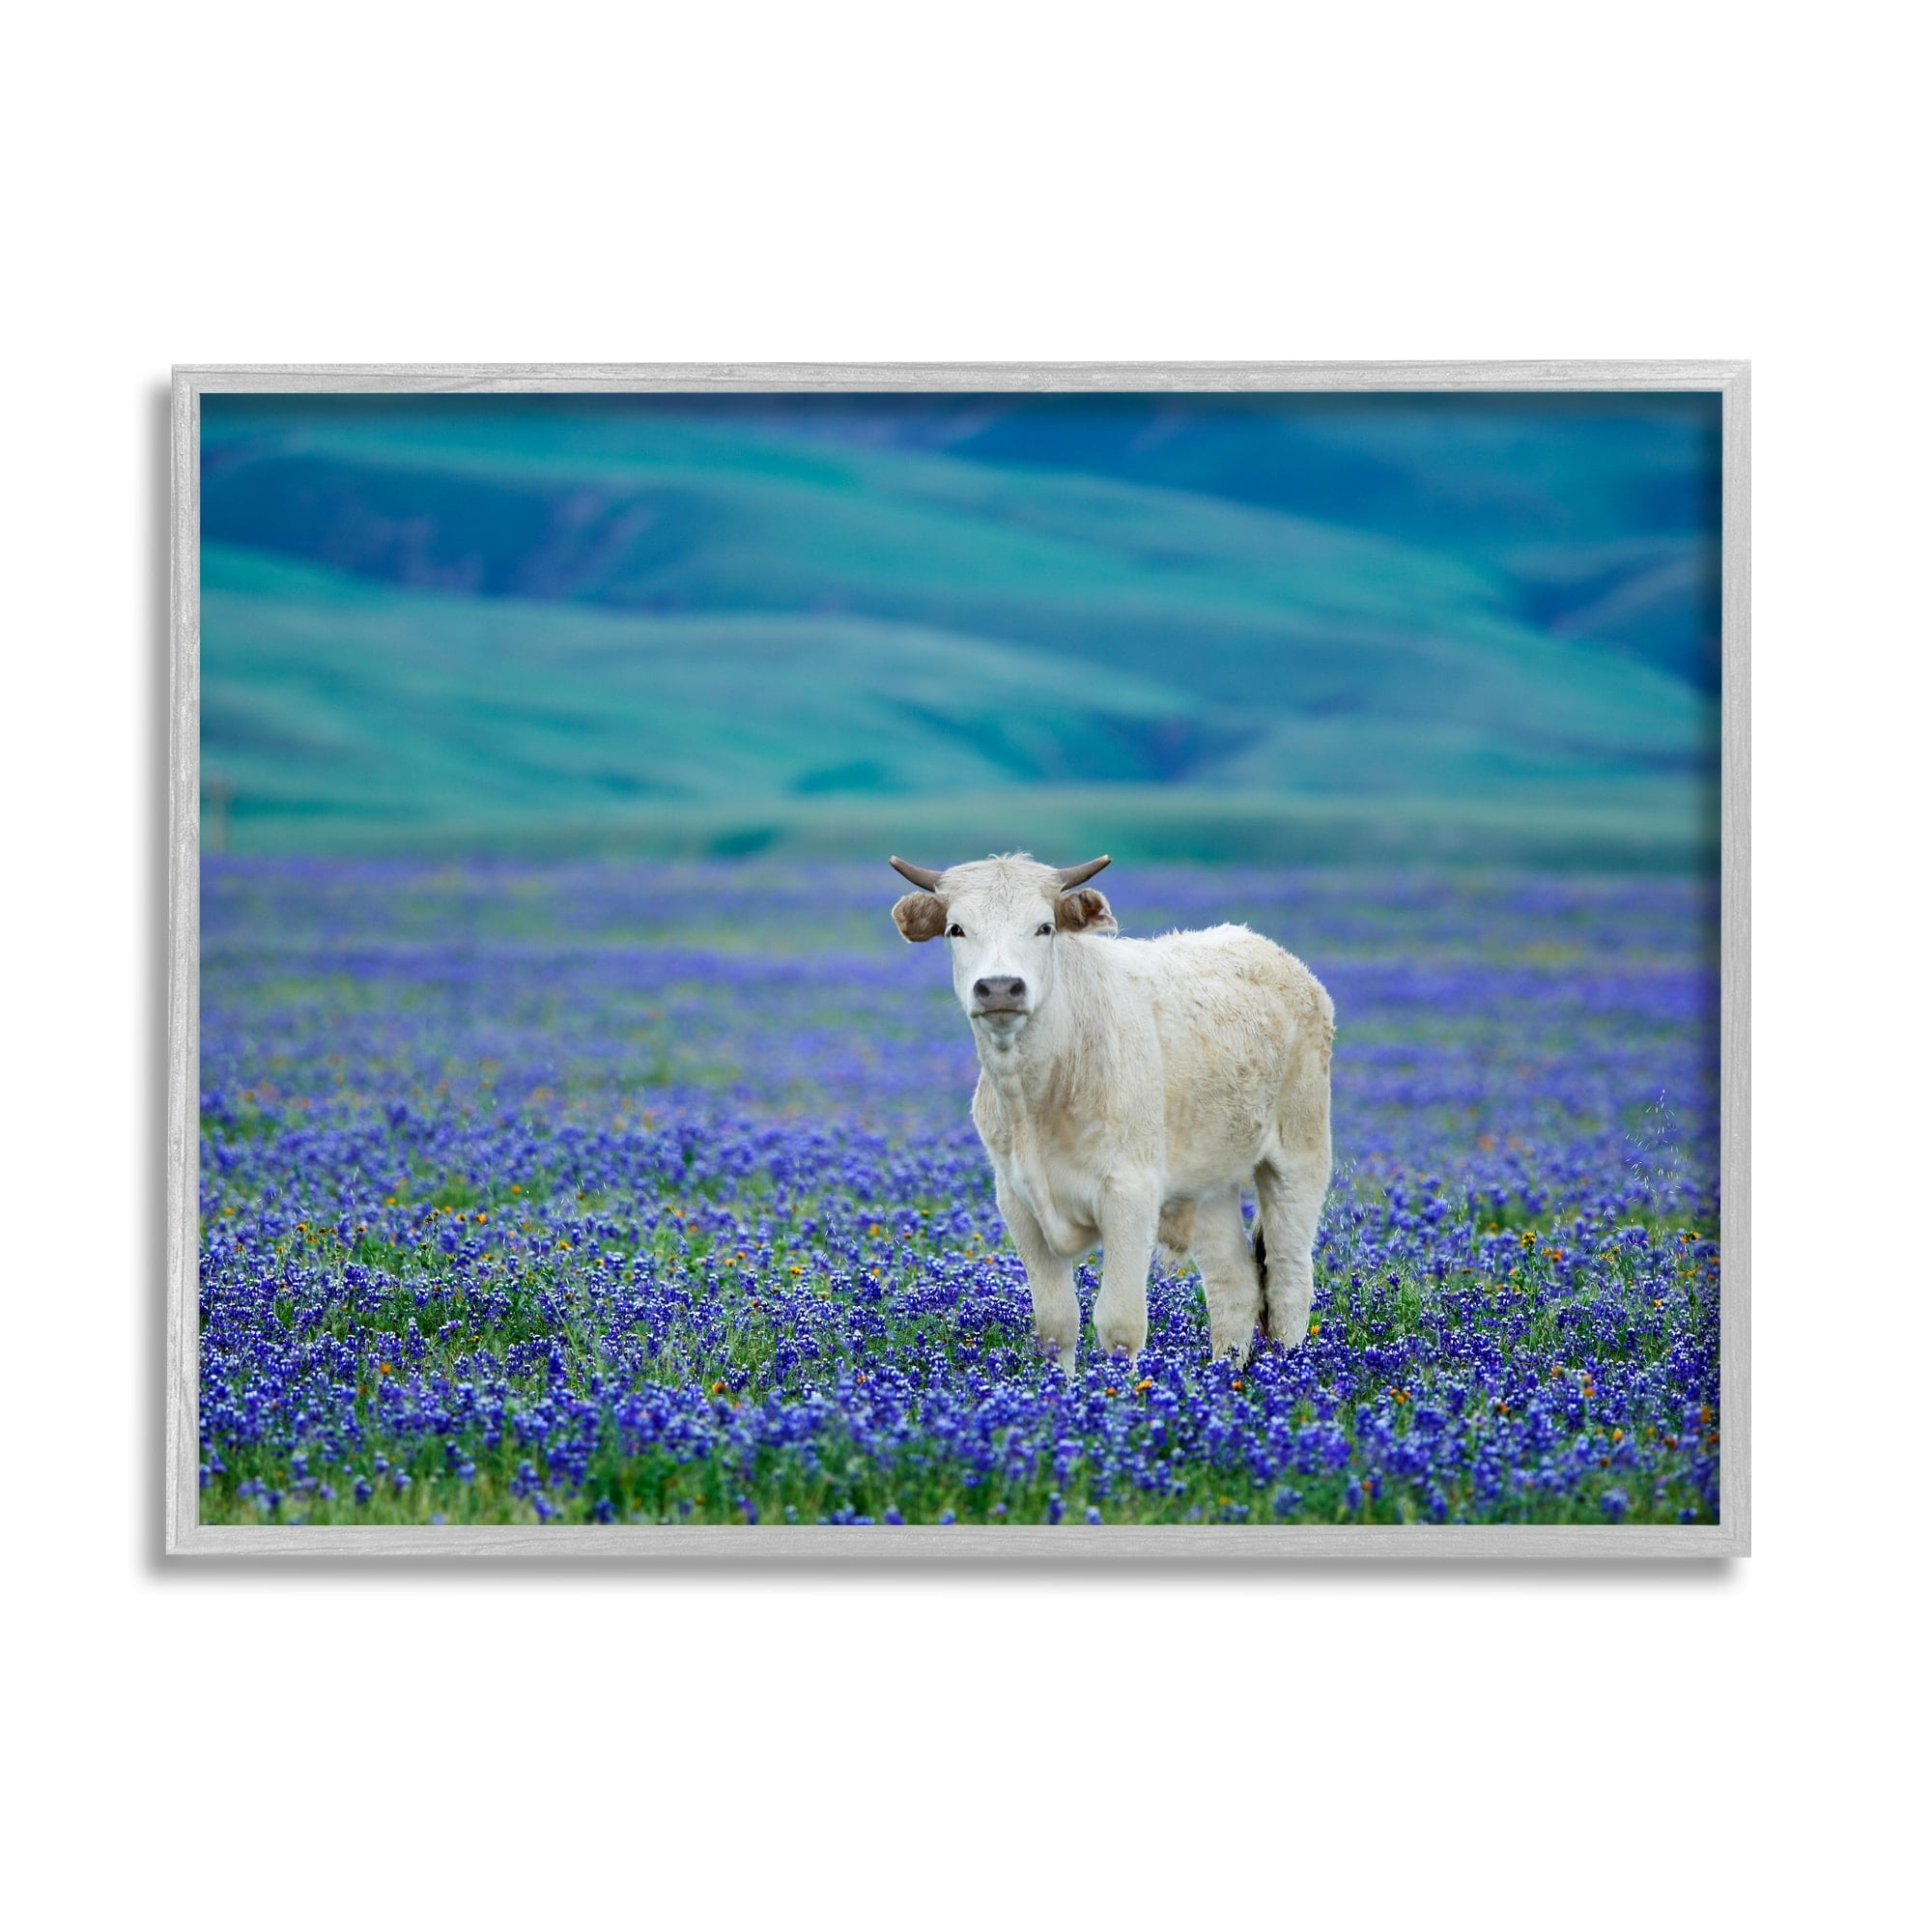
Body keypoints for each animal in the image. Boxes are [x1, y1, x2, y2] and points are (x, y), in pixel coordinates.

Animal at [889, 851, 1333, 1368]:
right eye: (956, 929)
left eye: (1044, 927)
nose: (1000, 988)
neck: (1035, 1096)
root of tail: (1270, 952)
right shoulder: (1017, 1201)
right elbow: (1056, 1324)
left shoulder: (1129, 1194)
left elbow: (1120, 1323)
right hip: (1209, 1183)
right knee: (1233, 1286)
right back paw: (1229, 1378)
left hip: (1298, 1159)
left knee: (1287, 1281)